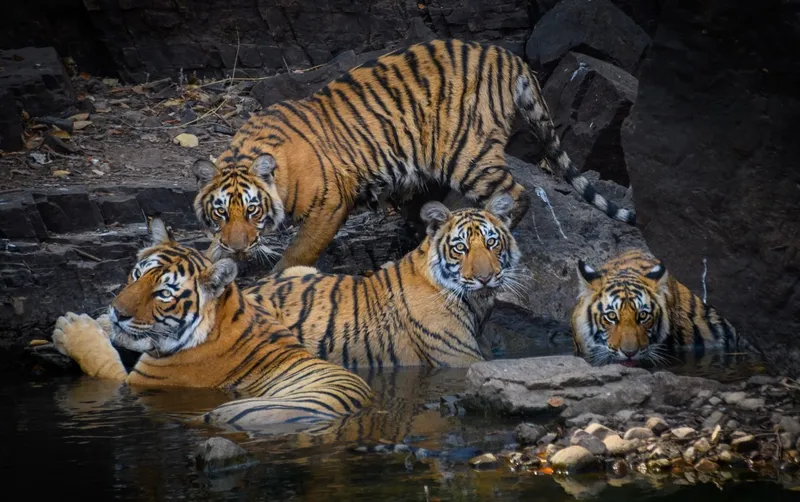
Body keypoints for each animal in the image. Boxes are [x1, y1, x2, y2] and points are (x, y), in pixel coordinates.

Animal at [51, 219, 370, 432]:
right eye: (137, 274)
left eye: (164, 294)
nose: (118, 312)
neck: (225, 313)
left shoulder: (139, 381)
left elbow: (103, 362)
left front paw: (71, 328)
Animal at [191, 38, 636, 274]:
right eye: (220, 212)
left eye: (253, 210)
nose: (237, 248)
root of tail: (508, 56)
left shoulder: (330, 204)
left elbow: (297, 253)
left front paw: (279, 276)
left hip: (467, 153)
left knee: (515, 193)